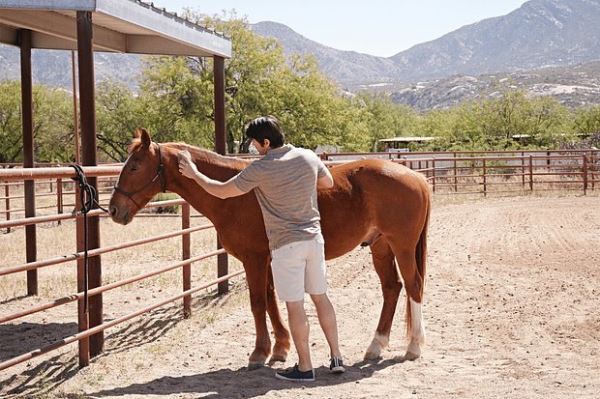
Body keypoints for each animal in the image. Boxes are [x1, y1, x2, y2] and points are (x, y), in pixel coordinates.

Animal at [108, 130, 428, 370]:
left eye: (134, 166)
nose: (113, 209)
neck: (236, 195)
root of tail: (417, 177)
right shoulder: (270, 259)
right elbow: (273, 300)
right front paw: (281, 348)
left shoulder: (254, 260)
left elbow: (258, 303)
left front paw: (259, 353)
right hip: (381, 247)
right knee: (392, 288)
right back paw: (375, 346)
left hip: (402, 246)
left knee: (413, 286)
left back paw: (413, 347)